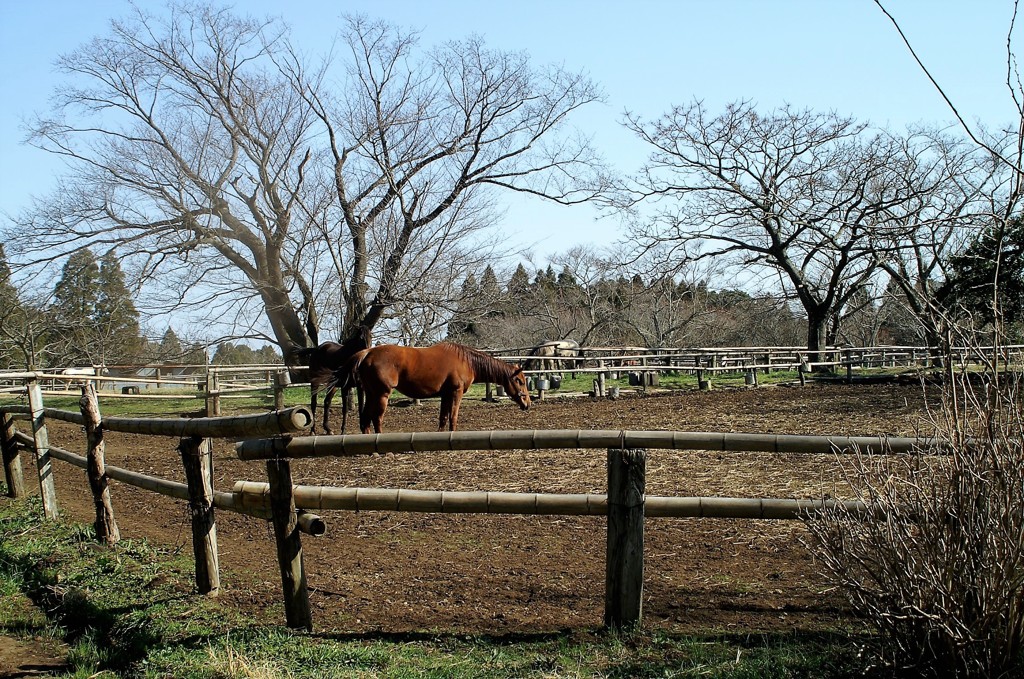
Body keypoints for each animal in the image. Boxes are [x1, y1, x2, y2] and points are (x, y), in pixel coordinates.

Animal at [348, 342, 532, 432]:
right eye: (520, 381)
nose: (528, 403)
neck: (467, 361)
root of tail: (367, 353)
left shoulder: (445, 395)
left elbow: (443, 418)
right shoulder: (456, 393)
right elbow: (453, 417)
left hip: (371, 394)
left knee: (365, 420)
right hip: (382, 395)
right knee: (376, 419)